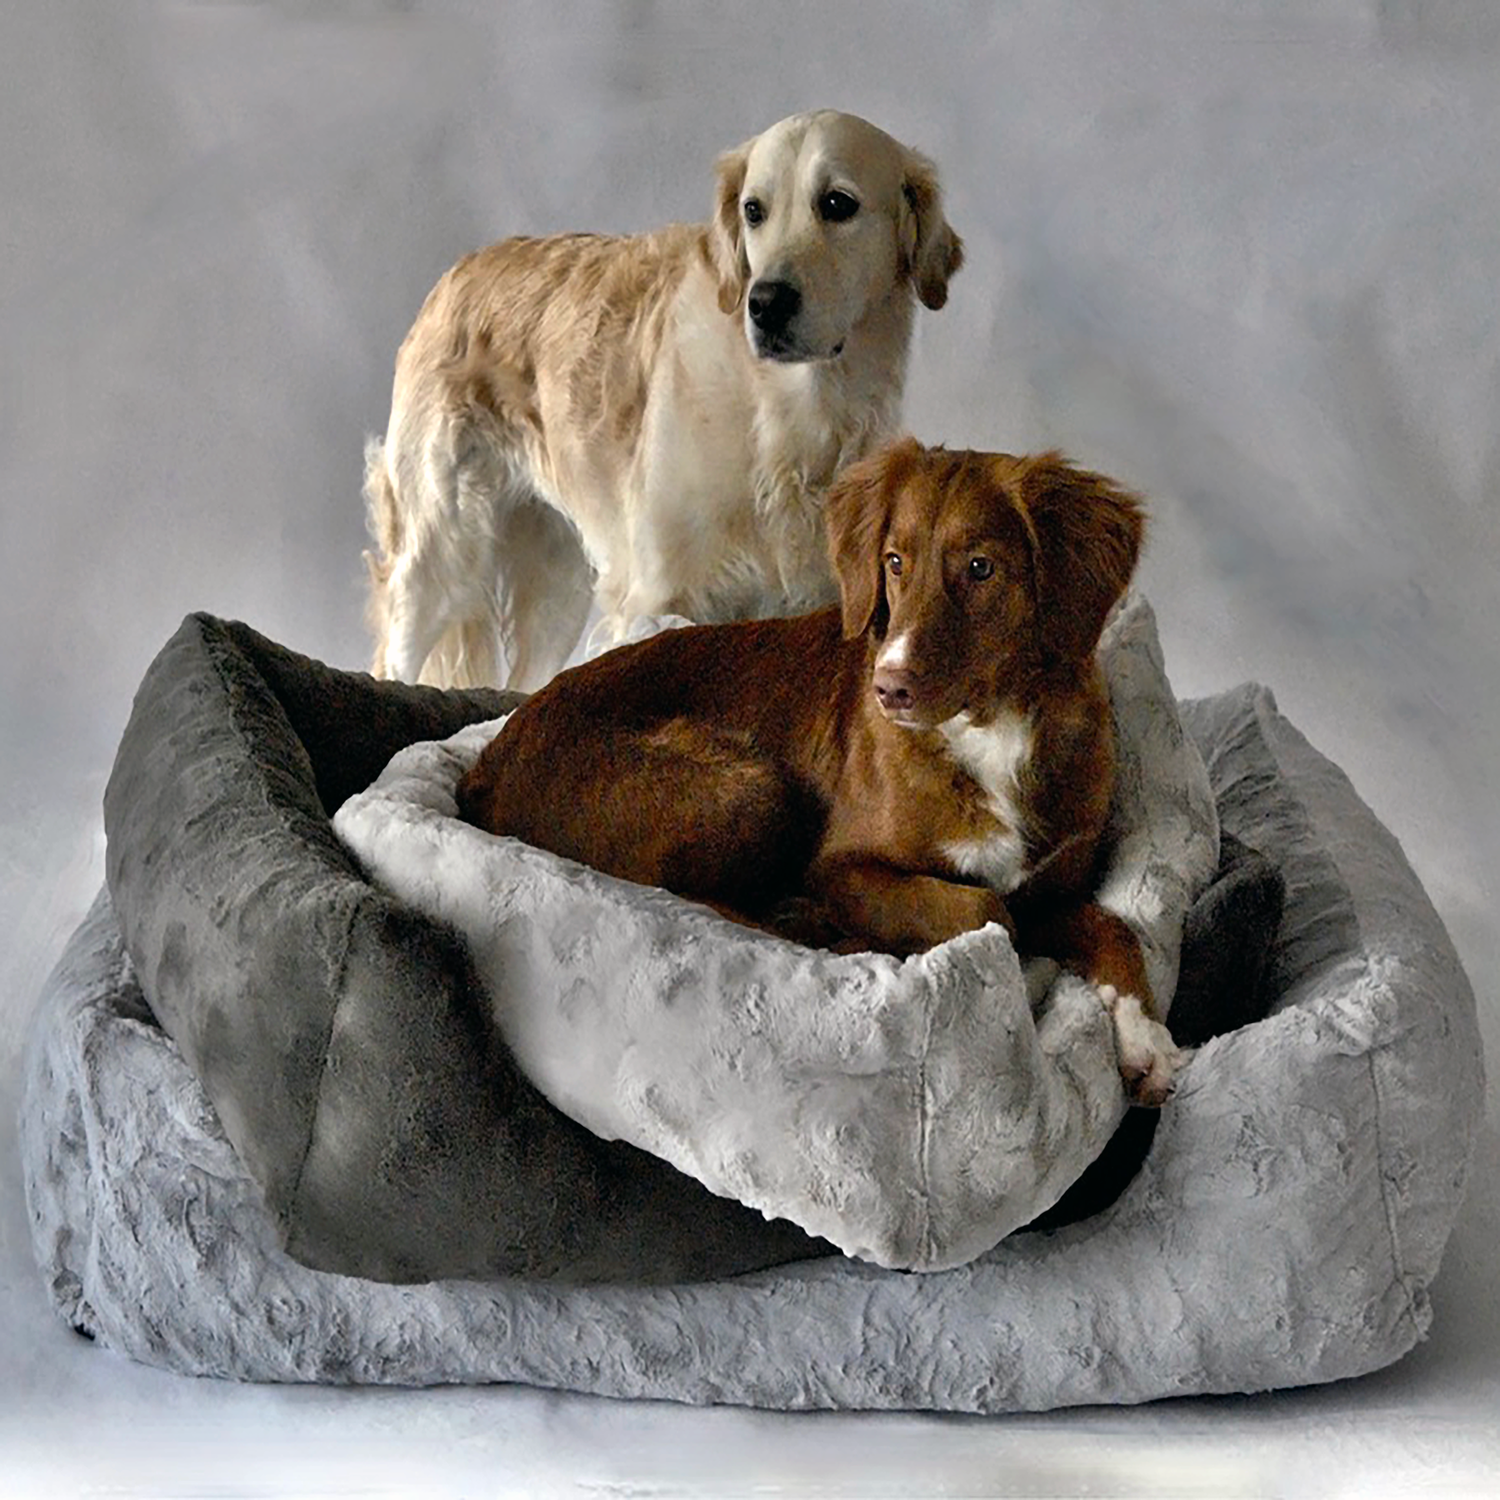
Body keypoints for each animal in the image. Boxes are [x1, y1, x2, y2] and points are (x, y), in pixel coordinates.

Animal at [364, 109, 963, 691]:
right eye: (753, 211)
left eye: (838, 204)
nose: (765, 302)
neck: (786, 414)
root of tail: (456, 272)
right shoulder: (656, 597)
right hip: (441, 549)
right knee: (394, 657)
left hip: (558, 582)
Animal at [457, 439, 1182, 1105]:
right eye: (895, 562)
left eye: (982, 568)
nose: (889, 688)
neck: (990, 733)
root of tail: (487, 764)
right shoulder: (840, 866)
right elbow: (988, 911)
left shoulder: (1056, 882)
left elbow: (1111, 925)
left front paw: (1146, 1041)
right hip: (746, 785)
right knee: (692, 898)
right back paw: (809, 920)